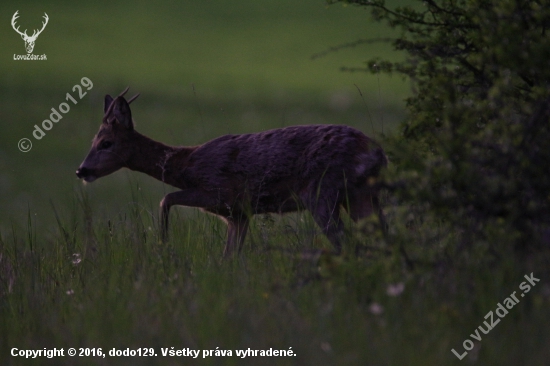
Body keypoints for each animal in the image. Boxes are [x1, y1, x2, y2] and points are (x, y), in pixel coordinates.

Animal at [76, 87, 388, 256]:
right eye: (92, 141)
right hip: (360, 195)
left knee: (346, 243)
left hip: (322, 192)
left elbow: (166, 199)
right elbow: (229, 258)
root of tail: (375, 151)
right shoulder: (238, 214)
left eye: (106, 143)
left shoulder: (220, 192)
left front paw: (163, 243)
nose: (81, 170)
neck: (187, 164)